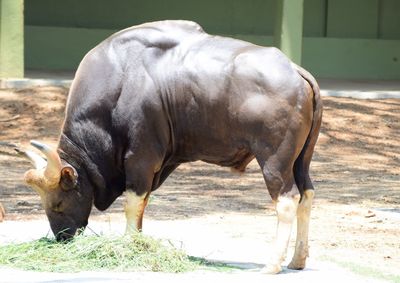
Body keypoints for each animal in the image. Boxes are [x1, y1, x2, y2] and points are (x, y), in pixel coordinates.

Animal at [20, 21, 324, 274]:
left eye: (58, 203)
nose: (62, 237)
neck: (120, 80)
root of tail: (295, 70)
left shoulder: (140, 159)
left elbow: (132, 204)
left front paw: (129, 246)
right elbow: (141, 206)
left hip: (274, 160)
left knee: (287, 201)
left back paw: (272, 264)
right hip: (301, 160)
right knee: (306, 194)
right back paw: (297, 260)